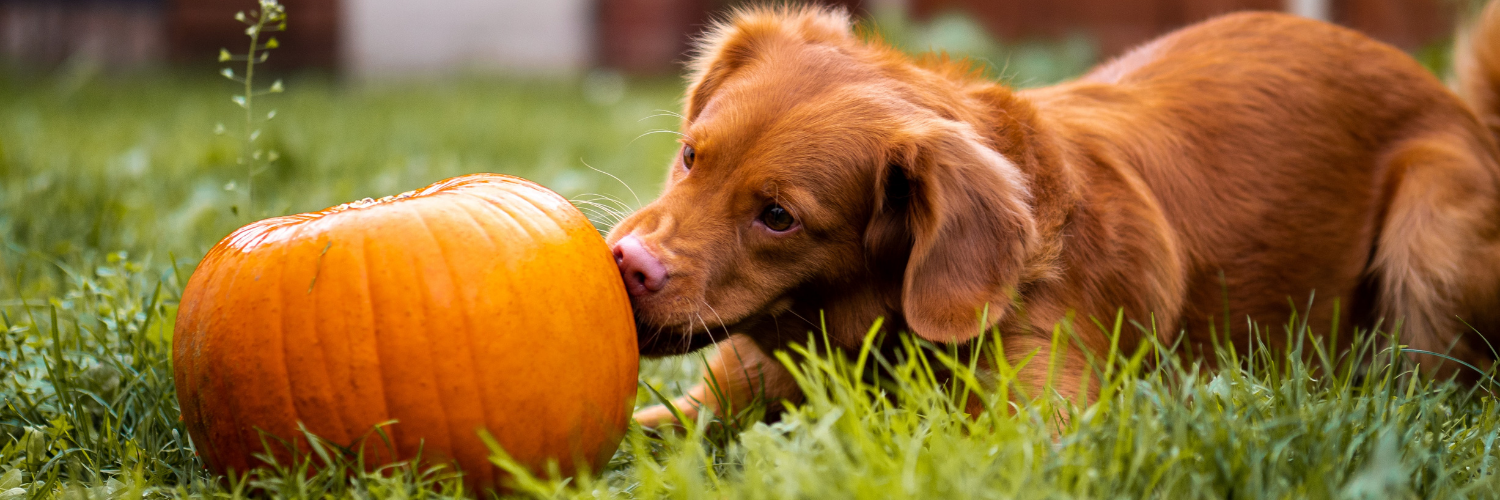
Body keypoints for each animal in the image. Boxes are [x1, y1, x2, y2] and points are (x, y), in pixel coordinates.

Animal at [603, 3, 1500, 423]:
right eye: (692, 156)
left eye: (779, 217)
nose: (628, 265)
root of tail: (1458, 107)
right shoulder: (714, 400)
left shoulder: (1036, 428)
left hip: (1430, 228)